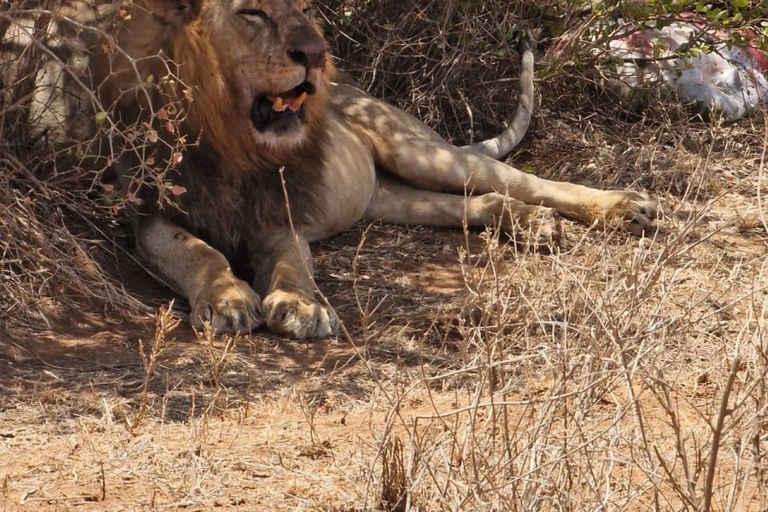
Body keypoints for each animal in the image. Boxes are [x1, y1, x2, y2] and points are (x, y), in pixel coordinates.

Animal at [85, 0, 660, 338]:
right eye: (252, 13)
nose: (318, 53)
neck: (232, 141)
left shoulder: (281, 219)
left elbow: (293, 266)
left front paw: (303, 307)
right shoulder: (149, 217)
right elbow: (200, 252)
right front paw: (227, 299)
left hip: (417, 153)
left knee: (527, 182)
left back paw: (623, 207)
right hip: (389, 198)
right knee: (481, 203)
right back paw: (533, 225)